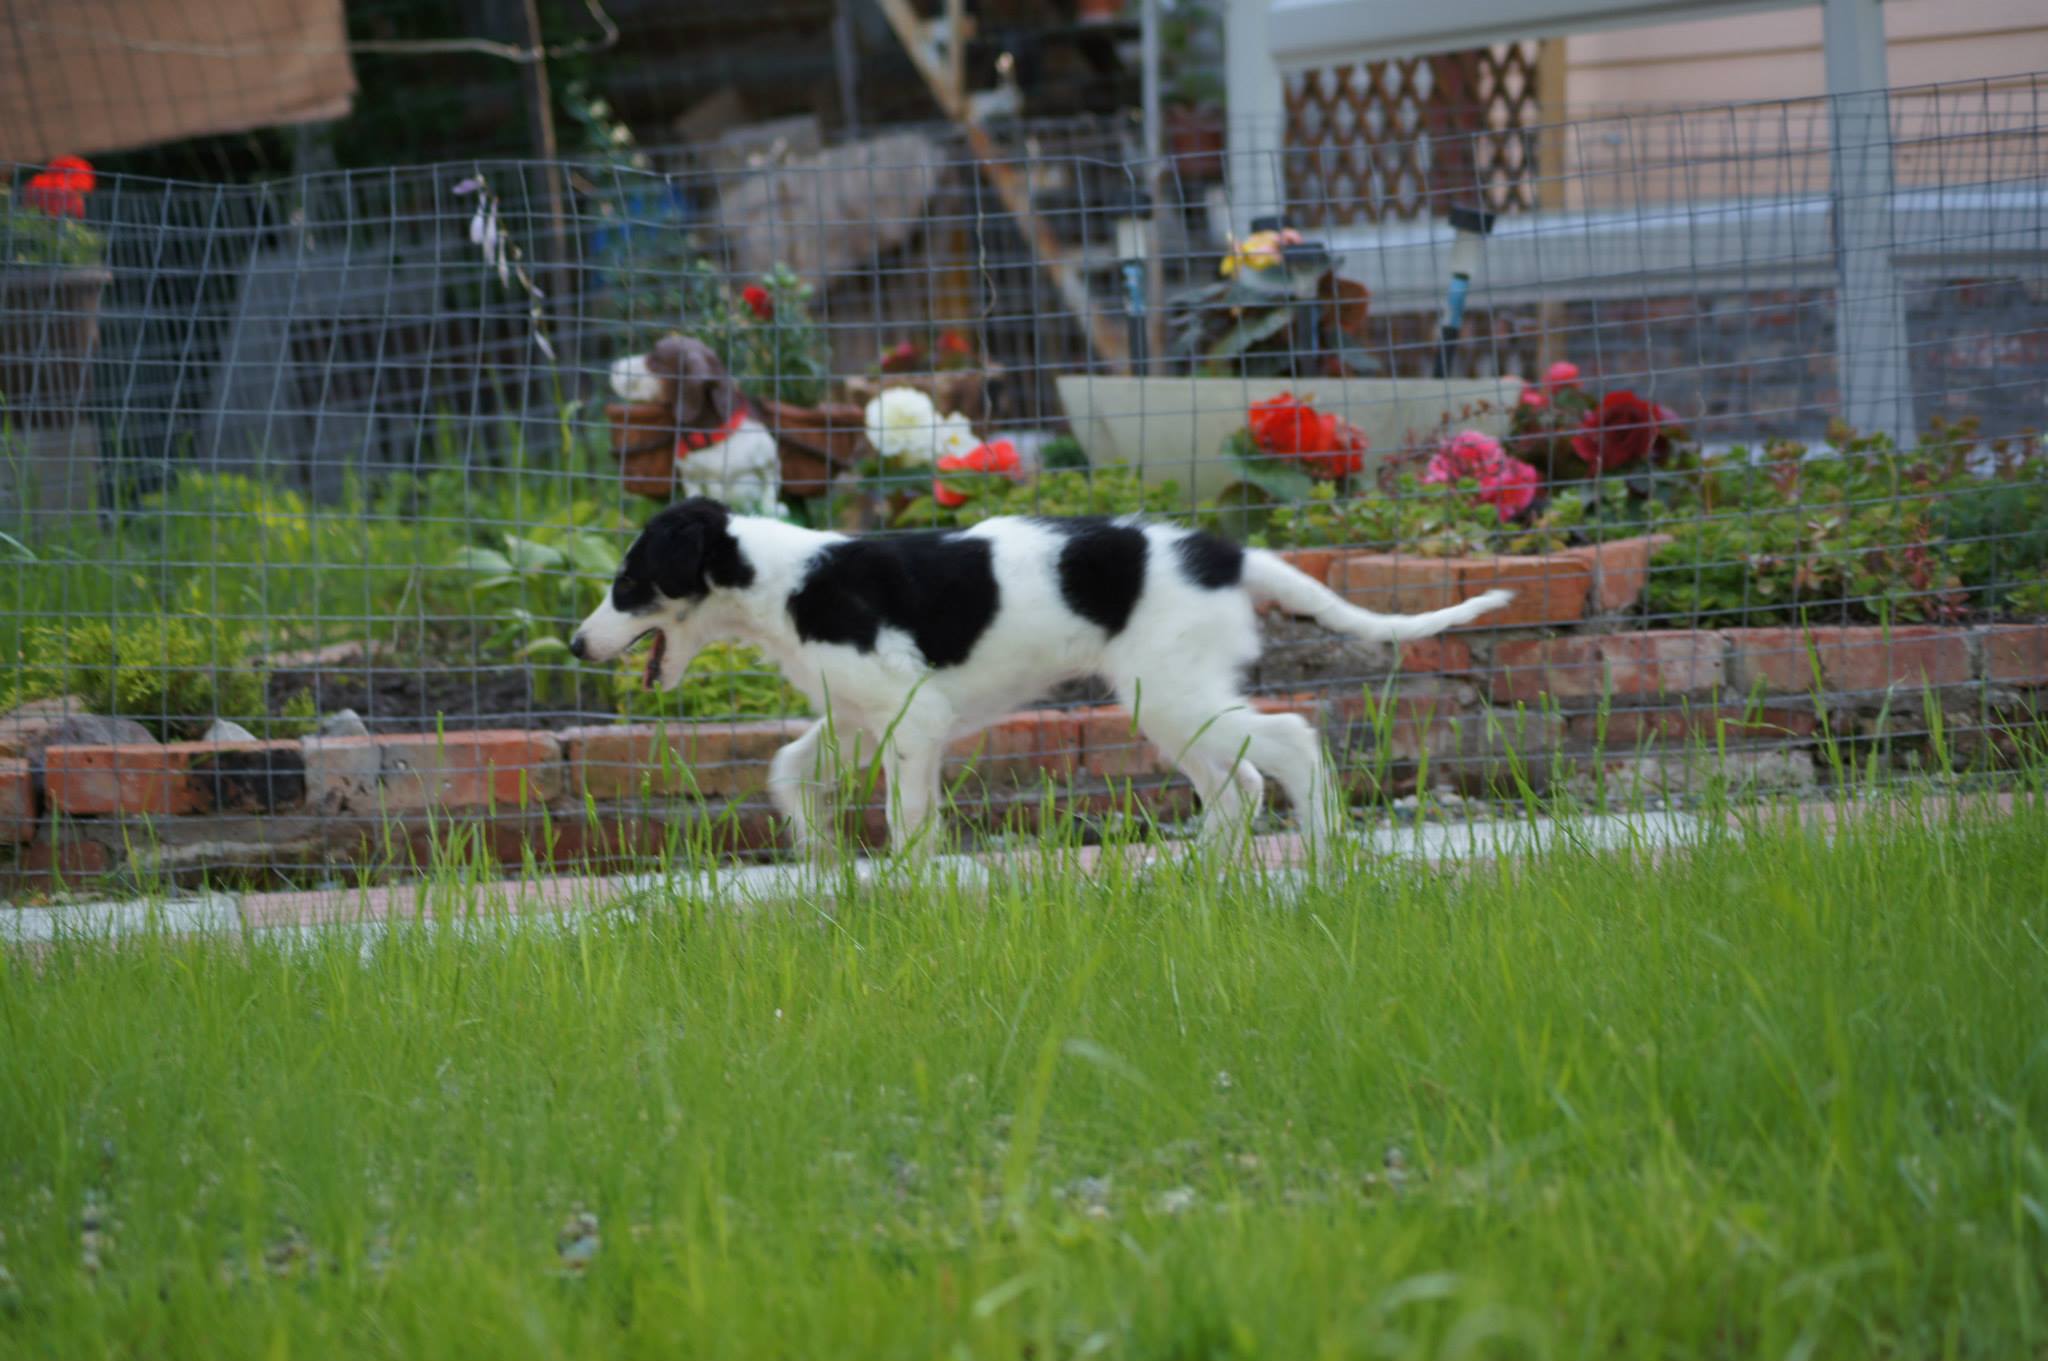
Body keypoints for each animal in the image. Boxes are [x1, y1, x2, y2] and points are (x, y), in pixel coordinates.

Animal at [570, 498, 1512, 856]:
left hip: (1176, 696)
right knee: (1237, 785)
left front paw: (906, 882)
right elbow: (784, 768)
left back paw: (1320, 851)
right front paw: (818, 849)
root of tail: (1224, 552)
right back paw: (1206, 876)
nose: (575, 645)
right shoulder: (856, 719)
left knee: (1291, 741)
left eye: (626, 581)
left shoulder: (911, 720)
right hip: (1171, 705)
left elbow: (909, 817)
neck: (783, 578)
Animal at [610, 336, 784, 516]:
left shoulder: (770, 465)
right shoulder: (690, 478)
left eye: (655, 361)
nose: (613, 365)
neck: (712, 435)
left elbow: (768, 497)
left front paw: (770, 511)